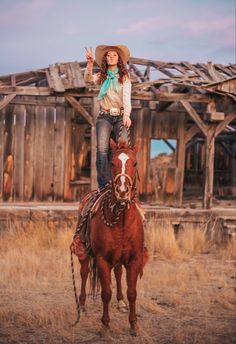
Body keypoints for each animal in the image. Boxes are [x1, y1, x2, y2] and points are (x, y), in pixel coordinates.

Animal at [71, 138, 148, 334]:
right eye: (112, 163)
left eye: (134, 163)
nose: (122, 191)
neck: (121, 221)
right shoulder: (102, 259)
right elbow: (106, 293)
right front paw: (105, 324)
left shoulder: (134, 259)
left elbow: (132, 293)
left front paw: (133, 324)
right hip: (84, 252)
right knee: (84, 273)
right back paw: (82, 304)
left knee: (119, 273)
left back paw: (121, 302)